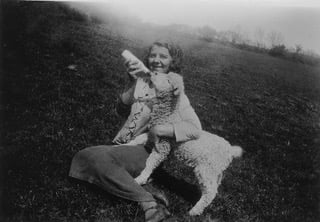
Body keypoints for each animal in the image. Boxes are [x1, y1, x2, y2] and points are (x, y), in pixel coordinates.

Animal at [127, 72, 242, 216]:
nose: (154, 73)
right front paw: (121, 145)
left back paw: (194, 211)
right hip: (217, 171)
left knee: (210, 192)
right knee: (215, 188)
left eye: (168, 80)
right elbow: (138, 139)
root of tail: (230, 150)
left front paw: (140, 179)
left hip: (206, 169)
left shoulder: (163, 146)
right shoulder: (152, 134)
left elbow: (151, 162)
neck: (169, 116)